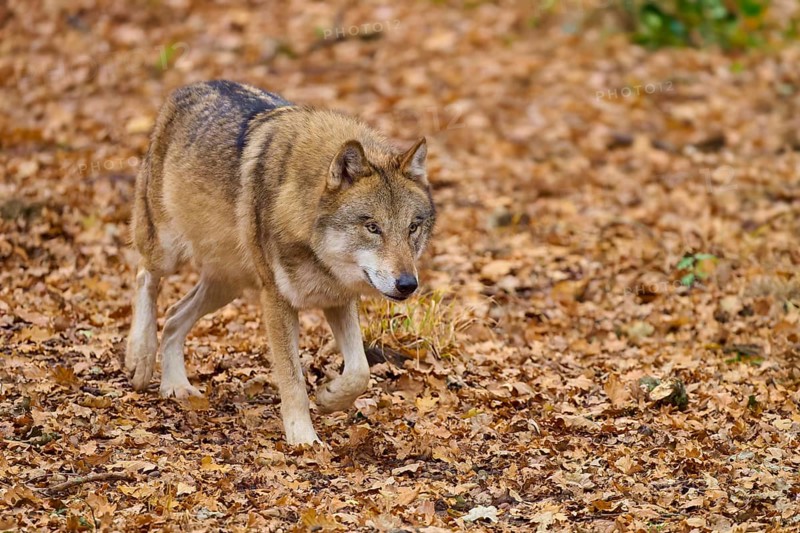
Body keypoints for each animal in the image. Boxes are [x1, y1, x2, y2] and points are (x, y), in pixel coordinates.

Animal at [124, 80, 435, 445]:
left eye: (412, 227)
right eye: (372, 227)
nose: (408, 284)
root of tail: (189, 87)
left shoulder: (338, 299)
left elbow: (360, 371)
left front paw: (329, 397)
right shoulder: (277, 300)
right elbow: (293, 379)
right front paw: (304, 439)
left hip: (228, 285)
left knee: (173, 316)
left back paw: (175, 385)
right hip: (169, 251)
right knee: (144, 277)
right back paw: (139, 358)